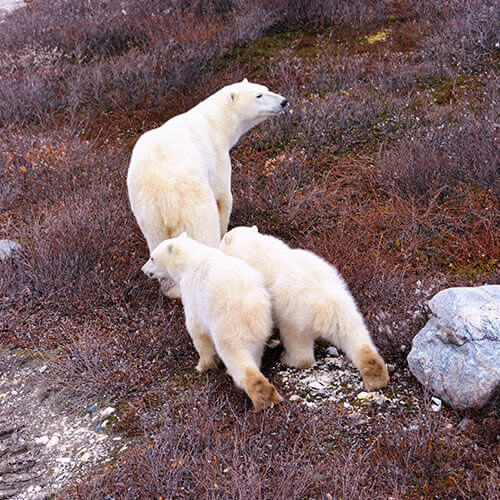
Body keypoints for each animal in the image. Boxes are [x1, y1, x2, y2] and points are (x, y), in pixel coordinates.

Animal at [127, 78, 288, 296]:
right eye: (259, 95)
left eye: (266, 89)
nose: (283, 101)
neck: (213, 121)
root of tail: (166, 196)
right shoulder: (217, 154)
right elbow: (224, 196)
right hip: (193, 203)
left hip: (148, 213)